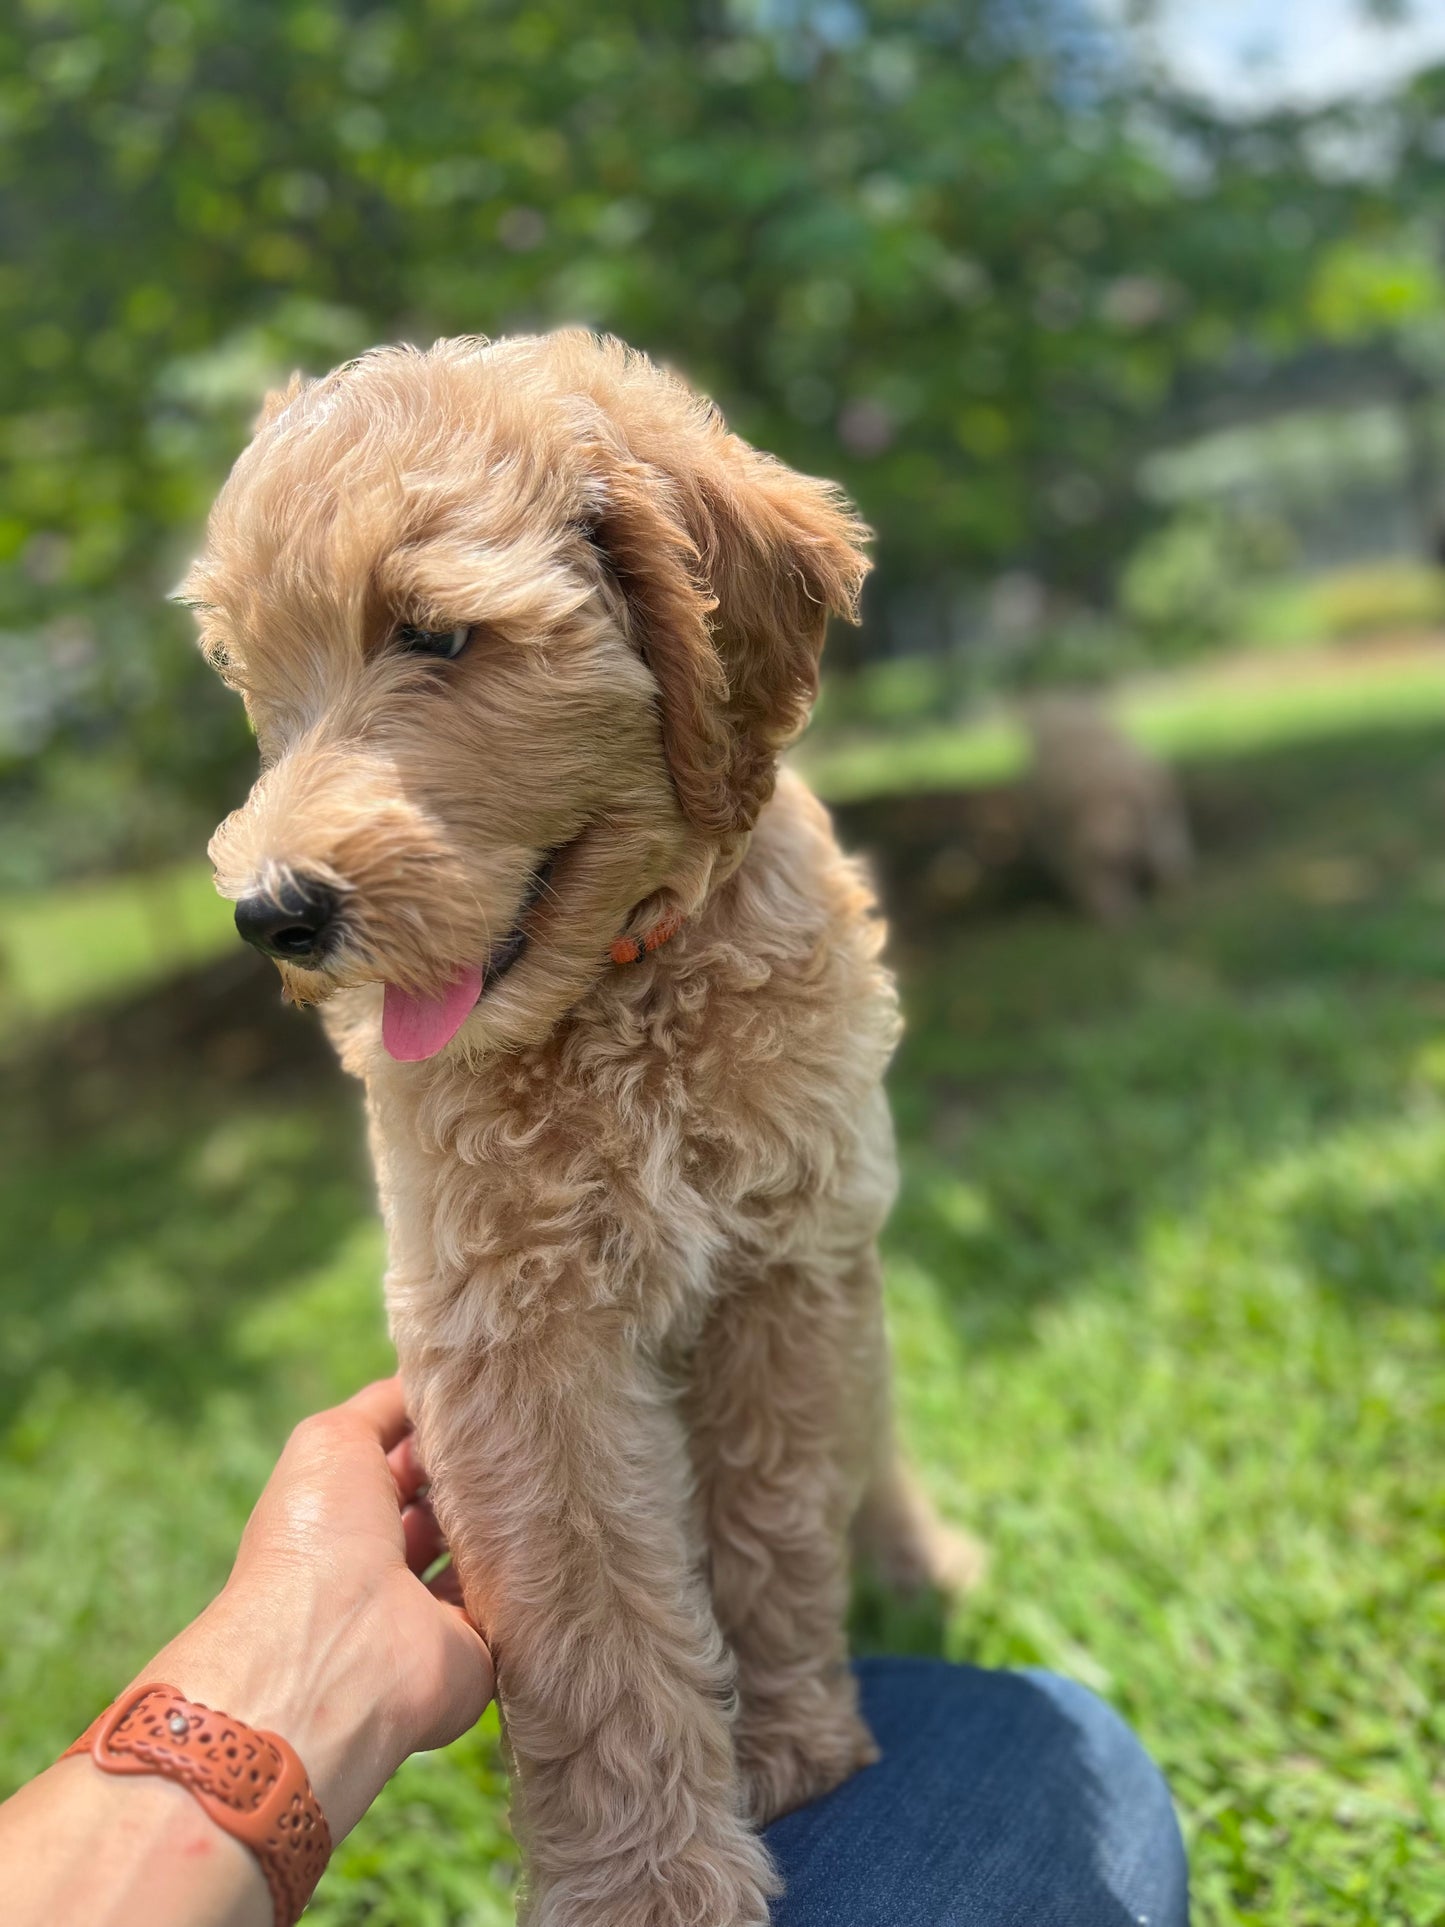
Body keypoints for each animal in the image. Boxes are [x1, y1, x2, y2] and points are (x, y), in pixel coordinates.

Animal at [183, 335, 974, 1927]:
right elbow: (588, 1608)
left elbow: (775, 1517)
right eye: (259, 682)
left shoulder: (787, 1263)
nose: (272, 912)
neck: (624, 984)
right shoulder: (510, 1327)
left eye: (436, 634)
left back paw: (919, 1557)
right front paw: (649, 1878)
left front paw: (794, 1746)